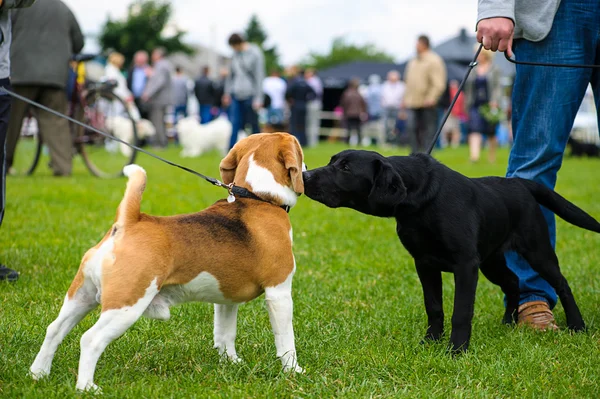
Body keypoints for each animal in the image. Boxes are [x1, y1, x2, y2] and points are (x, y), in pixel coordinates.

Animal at [30, 133, 308, 392]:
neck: (257, 197)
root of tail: (129, 222)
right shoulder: (279, 292)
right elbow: (286, 339)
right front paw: (293, 370)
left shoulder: (226, 299)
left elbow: (225, 333)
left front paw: (231, 362)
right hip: (126, 305)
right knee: (90, 340)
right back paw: (87, 387)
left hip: (81, 297)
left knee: (54, 330)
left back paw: (38, 374)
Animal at [304, 150, 600, 354]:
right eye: (332, 161)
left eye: (345, 168)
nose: (305, 176)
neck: (419, 204)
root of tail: (520, 183)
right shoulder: (424, 263)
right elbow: (434, 307)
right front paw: (430, 342)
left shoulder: (466, 265)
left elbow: (461, 312)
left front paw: (456, 350)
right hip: (491, 261)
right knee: (513, 282)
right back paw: (508, 322)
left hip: (536, 250)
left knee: (561, 283)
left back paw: (577, 325)